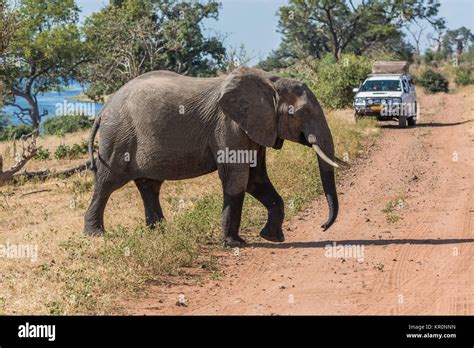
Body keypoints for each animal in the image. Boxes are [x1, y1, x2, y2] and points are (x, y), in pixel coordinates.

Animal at [85, 67, 342, 247]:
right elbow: (238, 178)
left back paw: (158, 231)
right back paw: (96, 235)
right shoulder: (229, 126)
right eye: (302, 112)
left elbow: (256, 178)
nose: (323, 226)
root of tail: (103, 109)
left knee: (149, 185)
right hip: (119, 137)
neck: (270, 81)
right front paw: (234, 243)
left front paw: (272, 238)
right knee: (107, 182)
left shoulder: (255, 127)